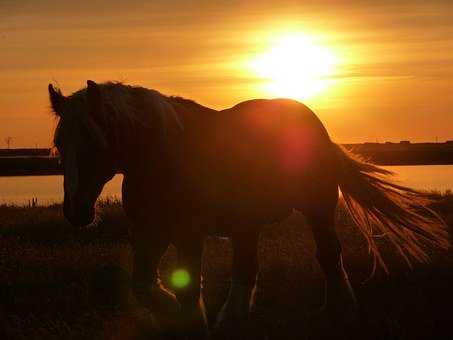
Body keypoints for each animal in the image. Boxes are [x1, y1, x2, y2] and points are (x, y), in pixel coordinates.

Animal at [47, 81, 446, 338]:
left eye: (94, 141)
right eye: (60, 144)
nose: (76, 211)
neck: (166, 155)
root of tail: (313, 122)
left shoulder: (189, 233)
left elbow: (188, 287)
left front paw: (192, 322)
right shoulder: (150, 232)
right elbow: (144, 285)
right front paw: (174, 316)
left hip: (316, 209)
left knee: (329, 256)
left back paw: (340, 312)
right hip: (246, 226)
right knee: (248, 268)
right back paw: (234, 320)